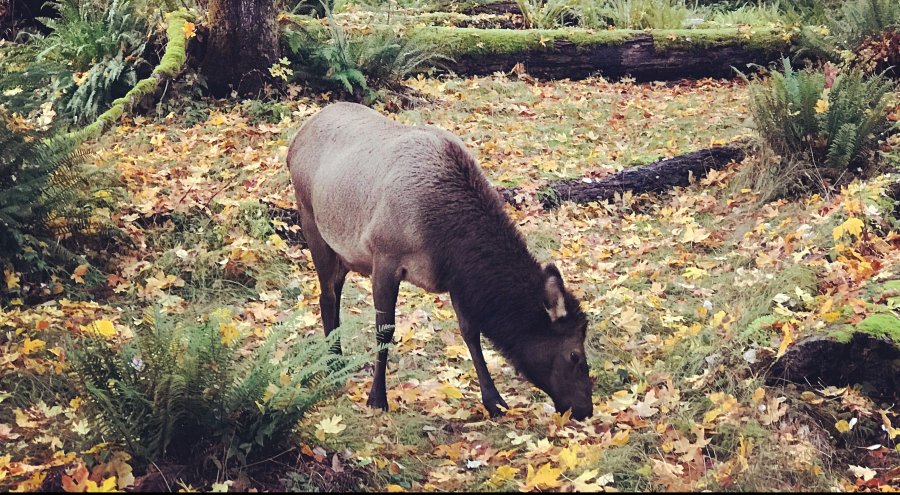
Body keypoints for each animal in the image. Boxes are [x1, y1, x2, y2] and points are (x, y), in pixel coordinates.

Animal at [287, 102, 593, 420]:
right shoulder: (384, 257)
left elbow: (470, 332)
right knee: (327, 296)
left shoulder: (456, 278)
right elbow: (385, 331)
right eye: (574, 354)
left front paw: (494, 400)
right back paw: (333, 365)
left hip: (344, 252)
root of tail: (296, 138)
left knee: (334, 291)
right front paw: (377, 398)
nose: (586, 408)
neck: (443, 236)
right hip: (311, 222)